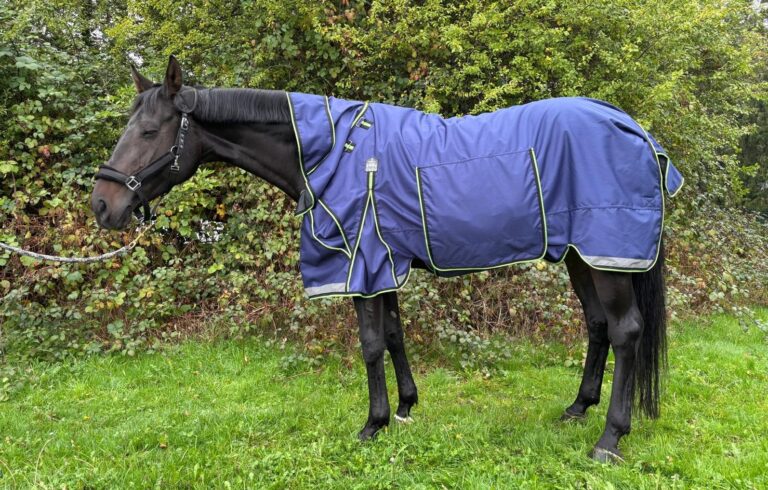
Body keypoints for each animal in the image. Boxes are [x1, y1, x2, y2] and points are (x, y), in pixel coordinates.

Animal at [91, 56, 683, 463]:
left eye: (149, 131)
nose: (102, 205)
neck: (332, 151)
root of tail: (633, 128)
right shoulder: (382, 262)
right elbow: (396, 336)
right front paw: (404, 408)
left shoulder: (360, 263)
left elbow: (371, 343)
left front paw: (371, 424)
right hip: (585, 256)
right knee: (598, 325)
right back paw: (577, 409)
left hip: (608, 254)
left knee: (626, 331)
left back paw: (609, 438)